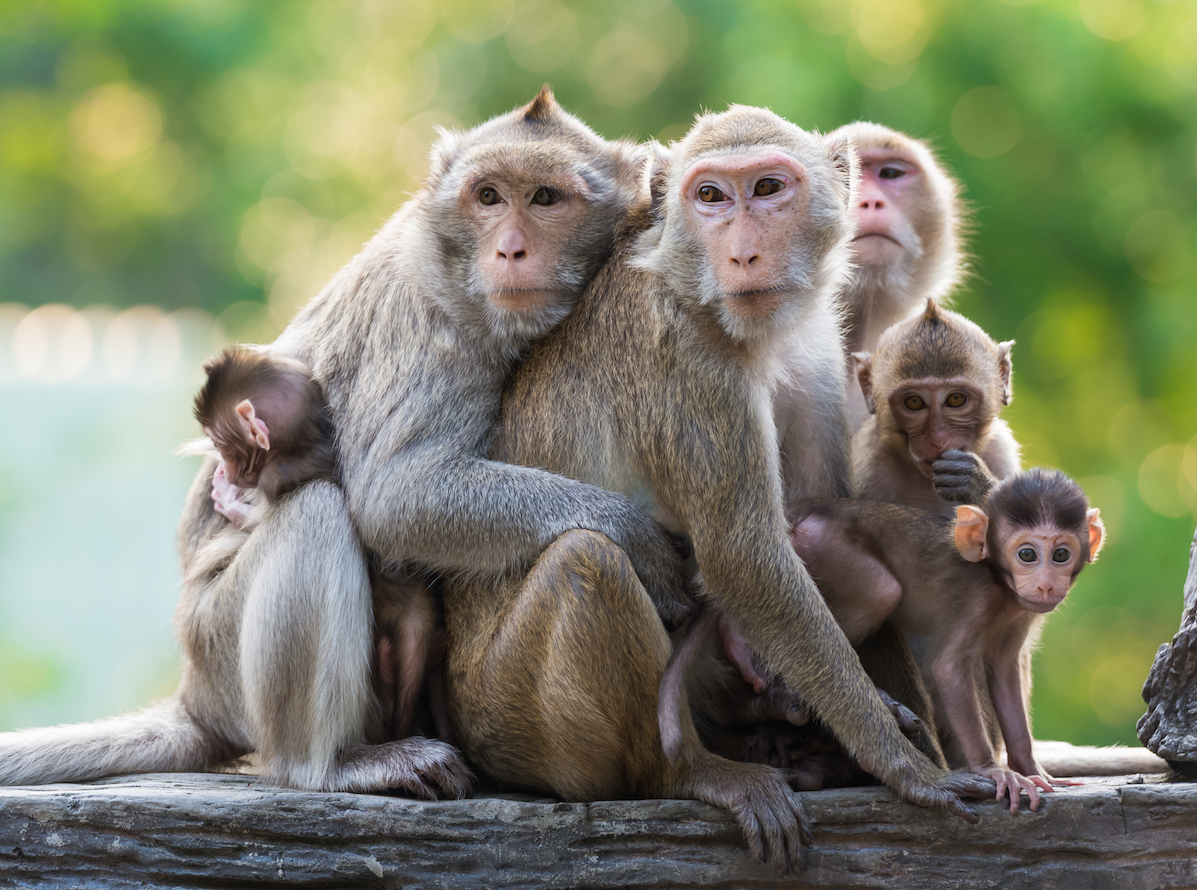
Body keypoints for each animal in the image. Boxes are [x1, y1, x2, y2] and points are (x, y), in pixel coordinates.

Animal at [0, 88, 686, 799]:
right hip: (219, 650)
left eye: (546, 198)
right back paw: (325, 765)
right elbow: (395, 496)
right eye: (490, 197)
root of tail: (195, 696)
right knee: (316, 513)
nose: (511, 251)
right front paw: (638, 539)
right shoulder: (431, 325)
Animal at [441, 105, 996, 875]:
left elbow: (836, 530)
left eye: (766, 188)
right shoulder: (686, 361)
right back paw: (689, 773)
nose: (742, 256)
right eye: (710, 197)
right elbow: (746, 559)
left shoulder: (818, 349)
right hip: (506, 723)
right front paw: (909, 769)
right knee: (589, 563)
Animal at [786, 468, 1105, 812]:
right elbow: (948, 669)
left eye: (1061, 555)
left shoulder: (1022, 612)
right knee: (880, 591)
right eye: (1027, 554)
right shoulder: (977, 600)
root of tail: (812, 509)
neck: (998, 581)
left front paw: (1030, 767)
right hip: (825, 545)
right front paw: (993, 772)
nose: (1046, 585)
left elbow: (1004, 672)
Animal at [851, 298, 1019, 517]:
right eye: (914, 402)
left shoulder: (1001, 449)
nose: (938, 439)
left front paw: (976, 483)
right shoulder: (870, 466)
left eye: (956, 398)